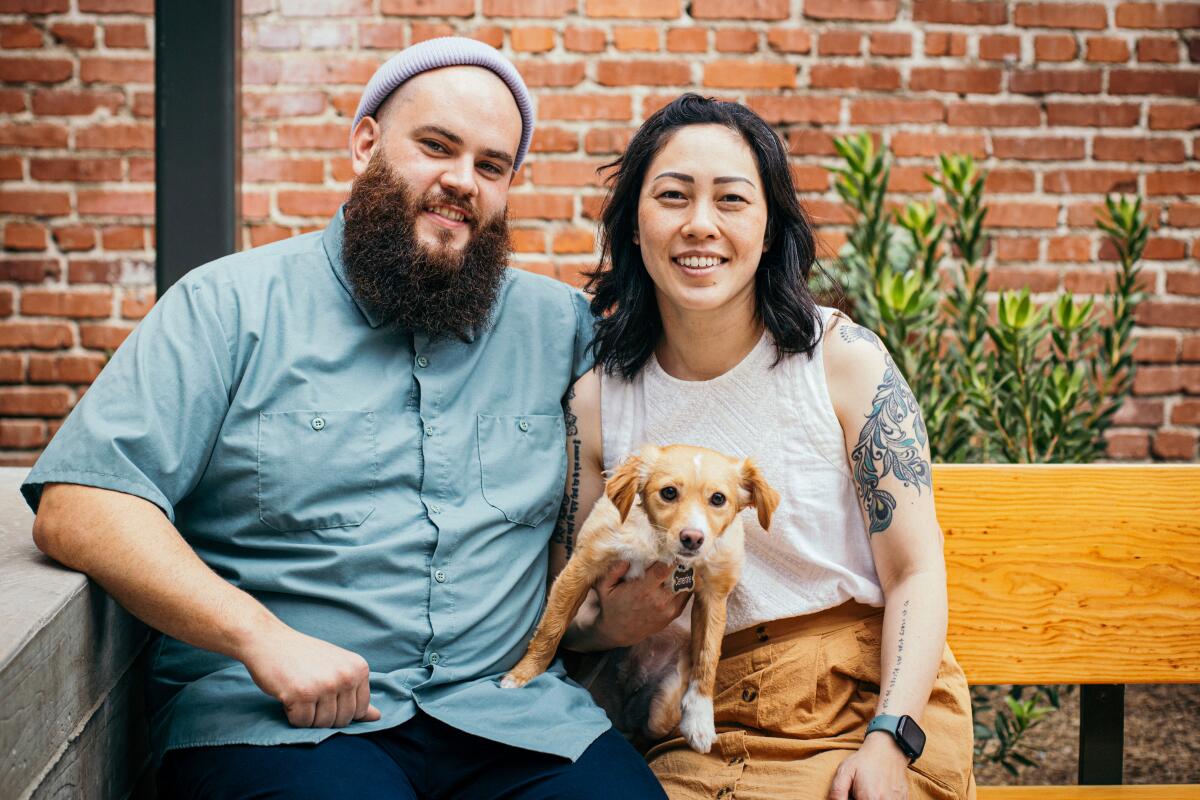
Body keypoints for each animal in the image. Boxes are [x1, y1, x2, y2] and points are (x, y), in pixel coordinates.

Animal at [496, 441, 777, 753]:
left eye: (718, 499)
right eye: (669, 492)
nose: (692, 538)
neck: (662, 548)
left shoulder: (713, 596)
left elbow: (707, 658)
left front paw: (700, 720)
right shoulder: (582, 565)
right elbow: (551, 629)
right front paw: (524, 674)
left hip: (661, 712)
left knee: (651, 726)